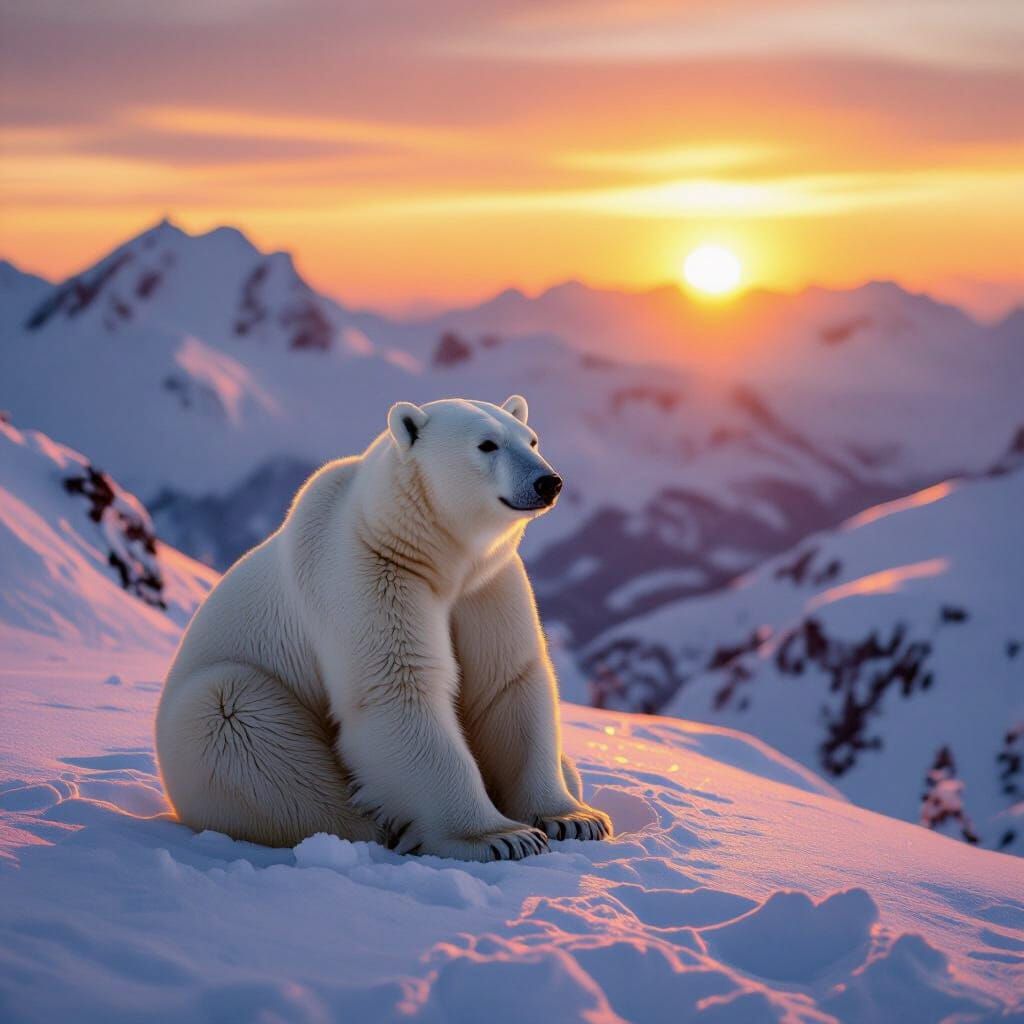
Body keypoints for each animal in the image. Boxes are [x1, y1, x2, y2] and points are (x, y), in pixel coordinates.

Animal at [156, 395, 612, 861]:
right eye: (487, 444)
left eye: (531, 439)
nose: (548, 482)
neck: (431, 553)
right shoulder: (367, 571)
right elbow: (398, 686)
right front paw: (501, 837)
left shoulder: (488, 584)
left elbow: (507, 682)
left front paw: (573, 819)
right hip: (222, 719)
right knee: (237, 720)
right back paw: (383, 825)